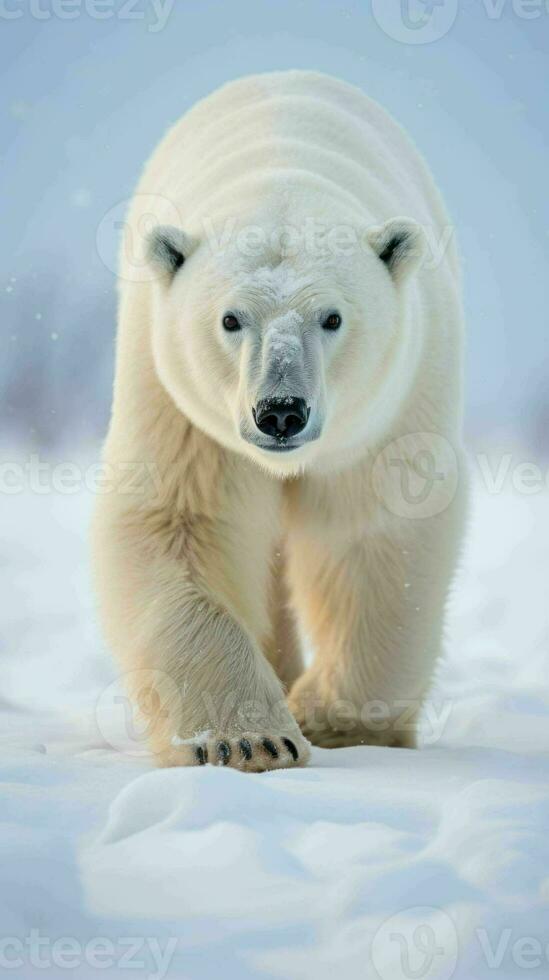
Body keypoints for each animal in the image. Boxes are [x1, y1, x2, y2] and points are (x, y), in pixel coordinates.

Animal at [91, 72, 466, 768]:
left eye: (333, 317)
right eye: (230, 319)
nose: (281, 412)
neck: (281, 167)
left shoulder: (392, 406)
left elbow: (377, 530)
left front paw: (338, 721)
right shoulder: (179, 403)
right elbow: (178, 521)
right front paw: (251, 738)